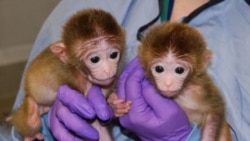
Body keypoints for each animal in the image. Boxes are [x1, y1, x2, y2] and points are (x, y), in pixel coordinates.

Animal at [7, 8, 125, 140]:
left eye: (113, 55)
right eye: (95, 59)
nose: (107, 70)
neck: (78, 70)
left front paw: (115, 105)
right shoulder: (76, 80)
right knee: (32, 119)